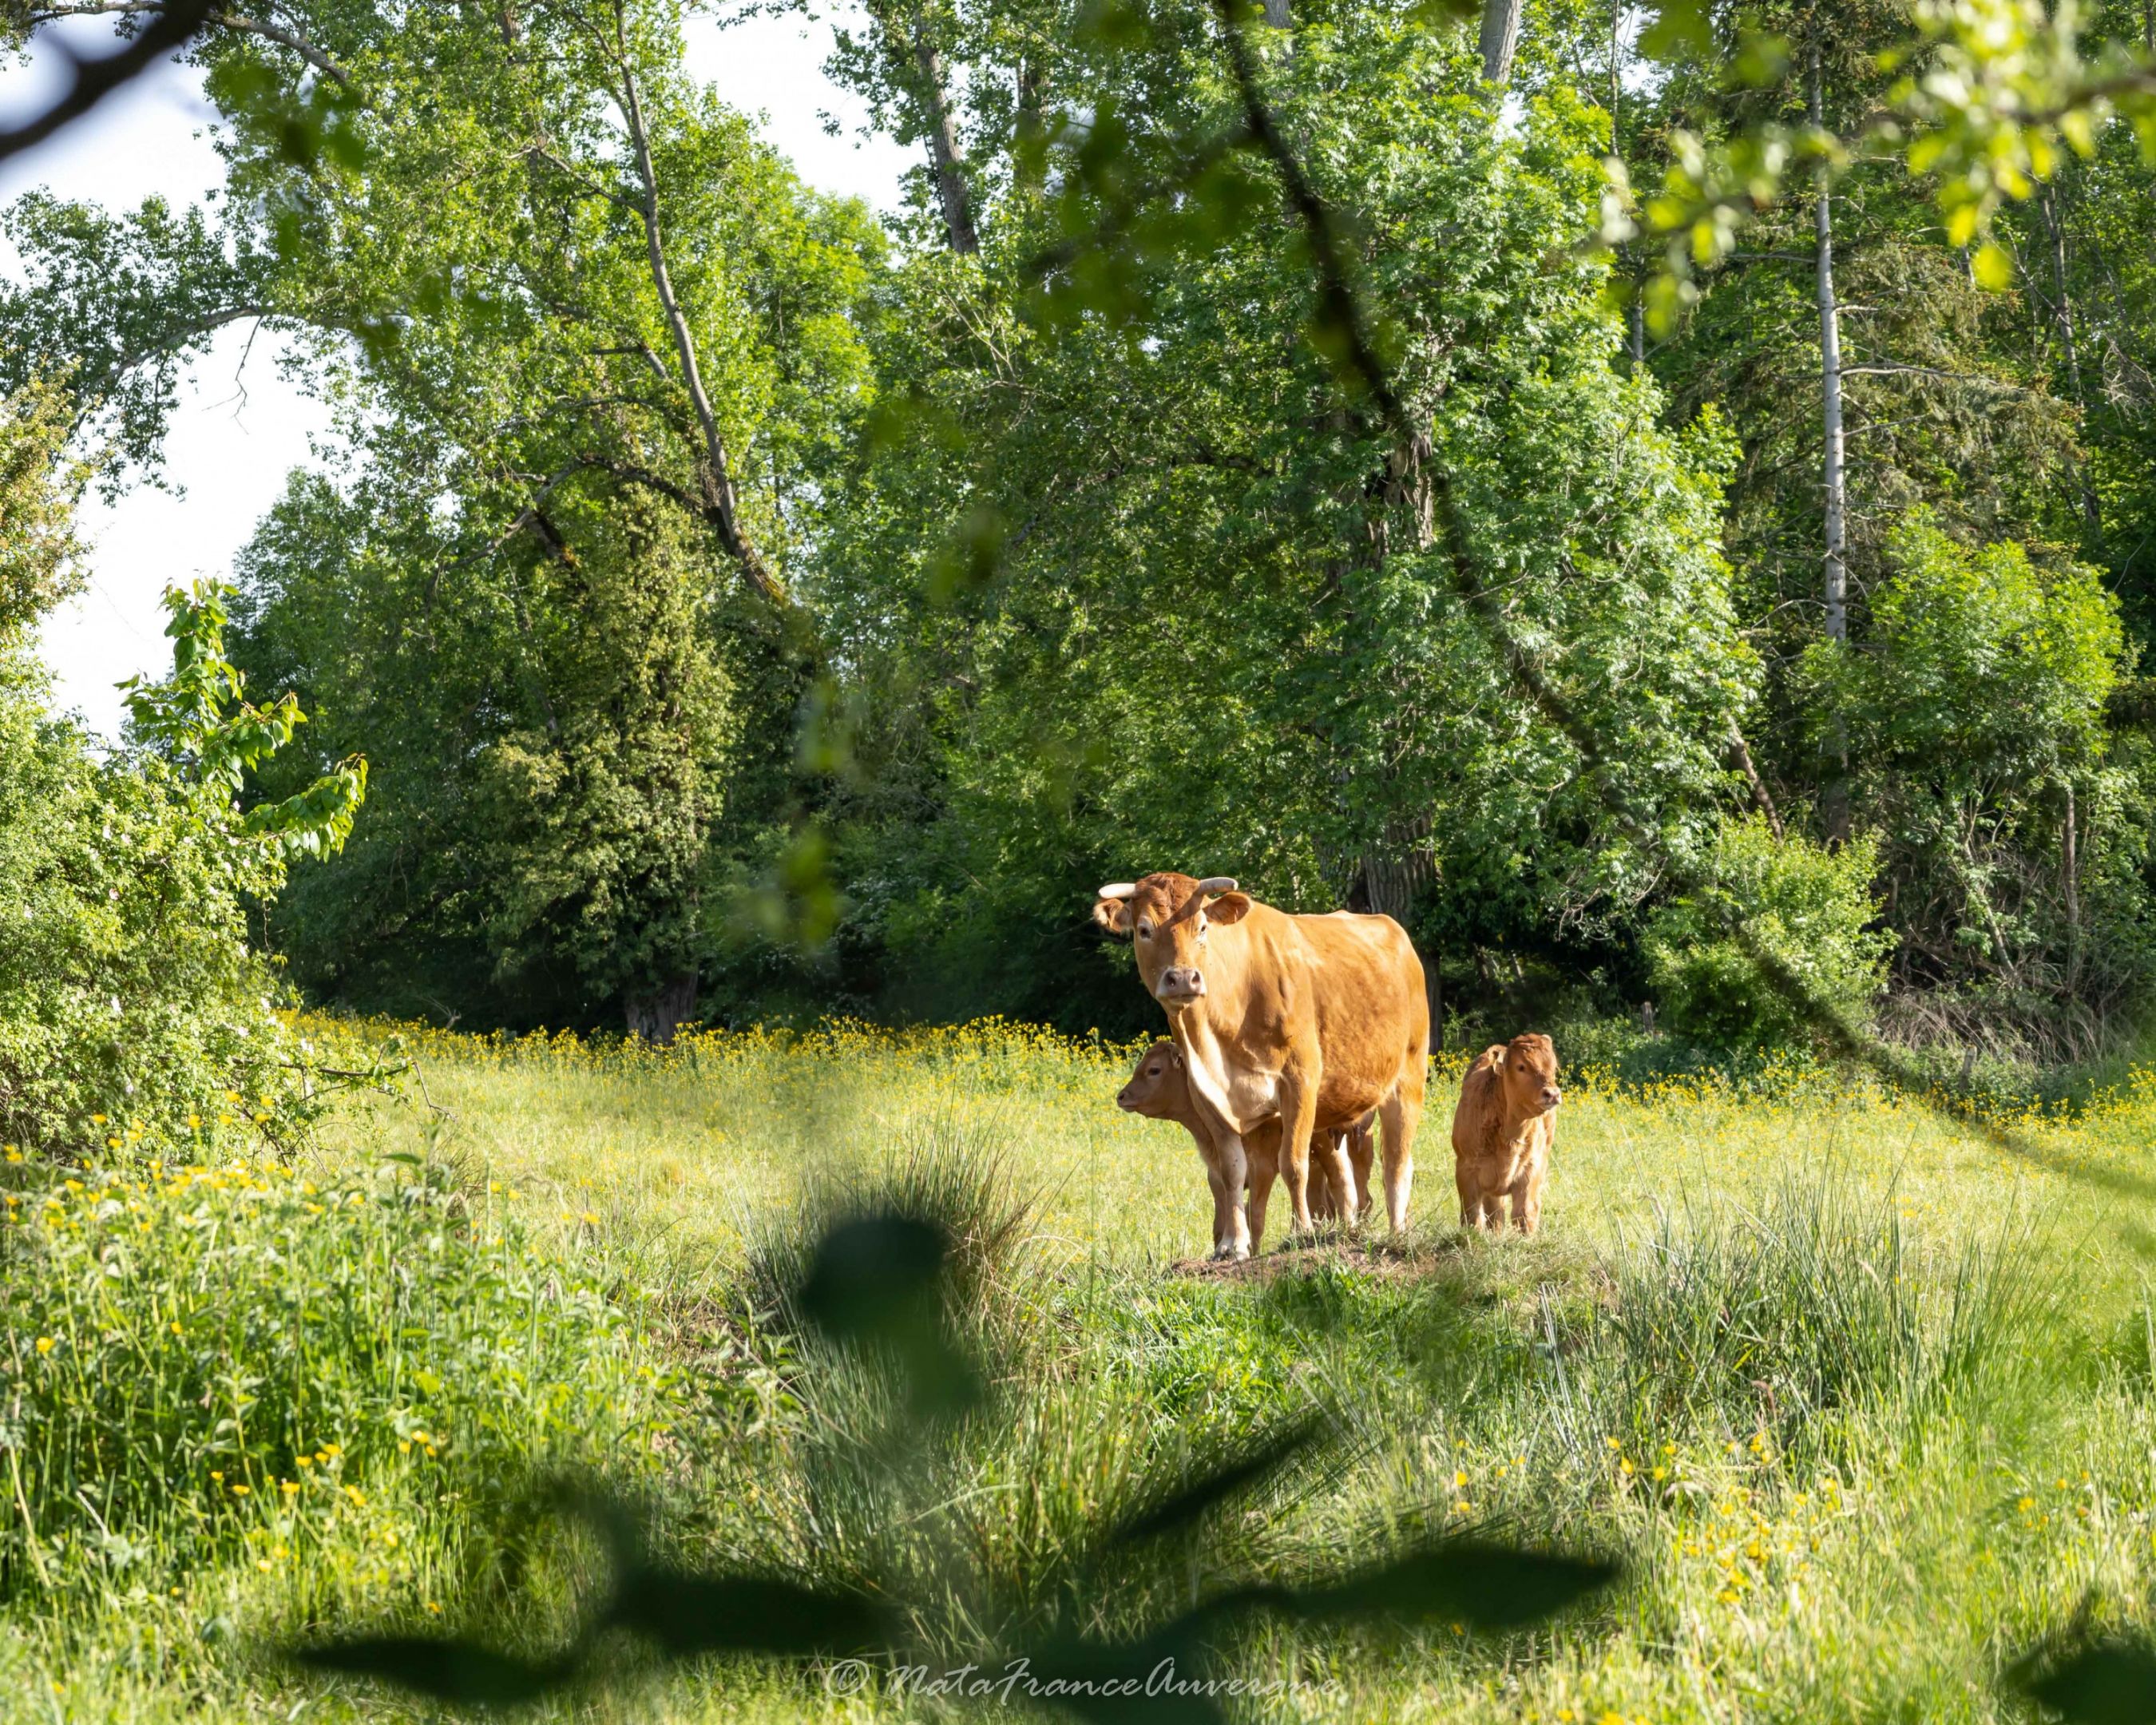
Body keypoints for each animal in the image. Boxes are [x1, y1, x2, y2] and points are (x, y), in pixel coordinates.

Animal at [1121, 1039, 1371, 1251]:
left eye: (1154, 1070)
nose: (1121, 1096)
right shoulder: (1217, 1176)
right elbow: (1222, 1224)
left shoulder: (1262, 1169)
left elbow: (1255, 1219)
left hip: (1328, 1148)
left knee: (1343, 1186)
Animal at [1457, 1030, 1560, 1233]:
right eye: (1521, 1067)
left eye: (1554, 1067)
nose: (1552, 1094)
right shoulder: (1466, 1169)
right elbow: (1473, 1216)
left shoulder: (1531, 1169)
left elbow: (1525, 1214)